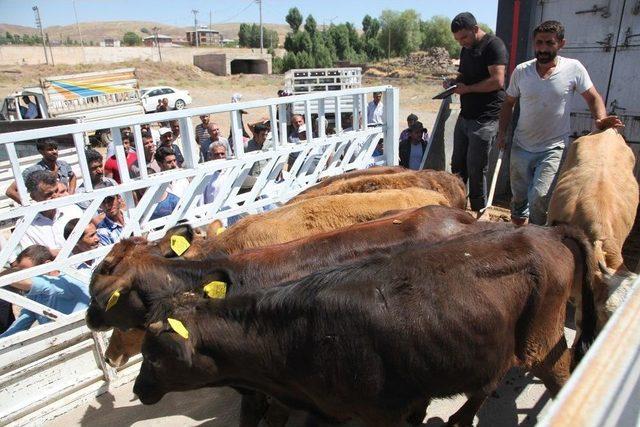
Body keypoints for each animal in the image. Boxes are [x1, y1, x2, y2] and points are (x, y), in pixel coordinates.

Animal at [134, 226, 600, 426]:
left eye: (154, 356)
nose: (139, 389)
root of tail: (548, 232)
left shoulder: (383, 412)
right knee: (487, 380)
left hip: (540, 341)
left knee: (562, 375)